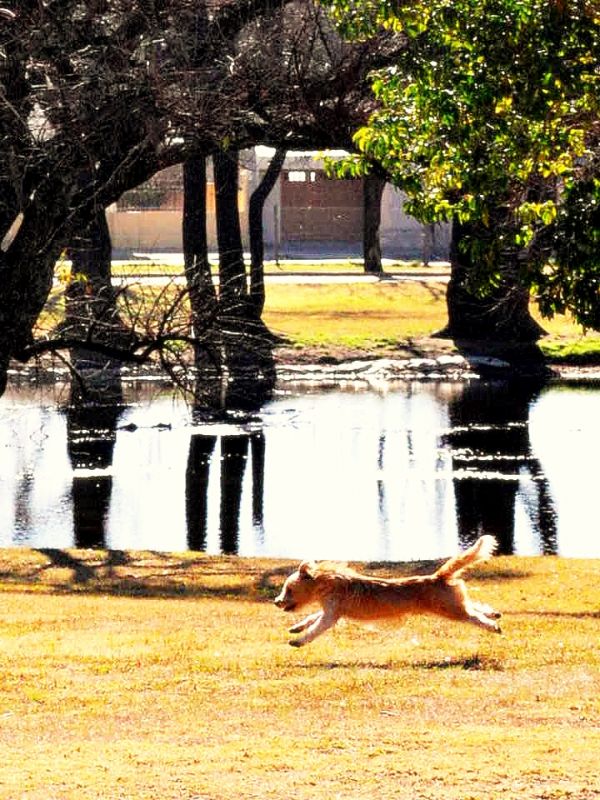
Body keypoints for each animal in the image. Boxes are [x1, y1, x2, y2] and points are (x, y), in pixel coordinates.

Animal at [274, 536, 500, 648]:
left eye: (289, 589)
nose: (276, 601)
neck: (327, 581)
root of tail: (438, 576)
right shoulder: (331, 611)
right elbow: (311, 617)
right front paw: (296, 628)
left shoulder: (331, 615)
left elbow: (316, 628)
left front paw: (299, 641)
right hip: (453, 603)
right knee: (473, 606)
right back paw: (494, 613)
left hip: (451, 610)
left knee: (473, 616)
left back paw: (493, 626)